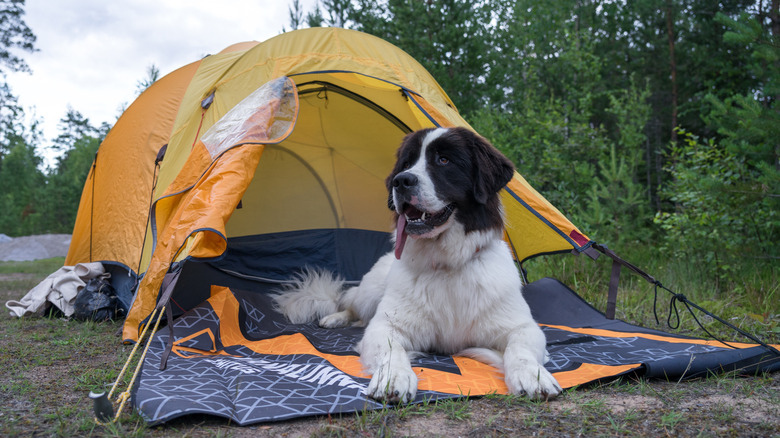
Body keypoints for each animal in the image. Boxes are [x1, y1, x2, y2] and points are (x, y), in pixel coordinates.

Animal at [274, 126, 560, 404]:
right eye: (406, 163)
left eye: (444, 160)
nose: (401, 181)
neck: (447, 263)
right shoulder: (386, 326)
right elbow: (391, 349)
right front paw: (393, 378)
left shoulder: (522, 326)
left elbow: (519, 349)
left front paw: (532, 376)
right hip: (370, 291)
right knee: (353, 306)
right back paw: (334, 318)